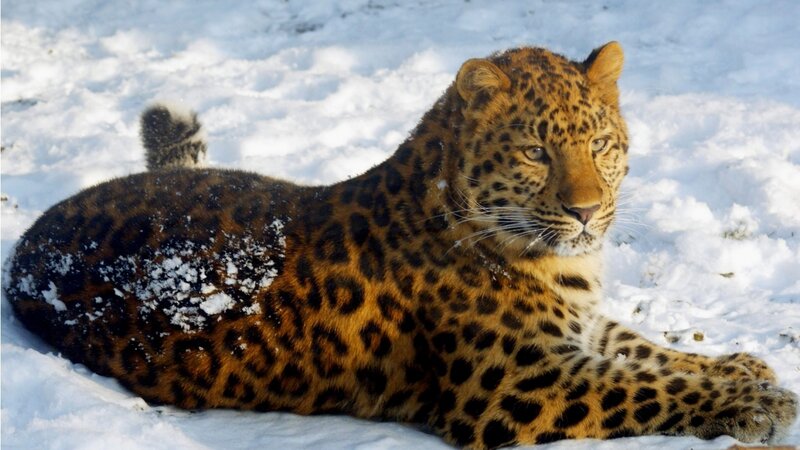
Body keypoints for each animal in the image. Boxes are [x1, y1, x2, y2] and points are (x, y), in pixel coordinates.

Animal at [5, 42, 797, 449]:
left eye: (601, 145)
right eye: (536, 151)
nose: (586, 212)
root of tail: (29, 245)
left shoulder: (577, 328)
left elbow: (645, 350)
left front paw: (744, 367)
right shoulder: (520, 388)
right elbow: (644, 386)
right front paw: (757, 403)